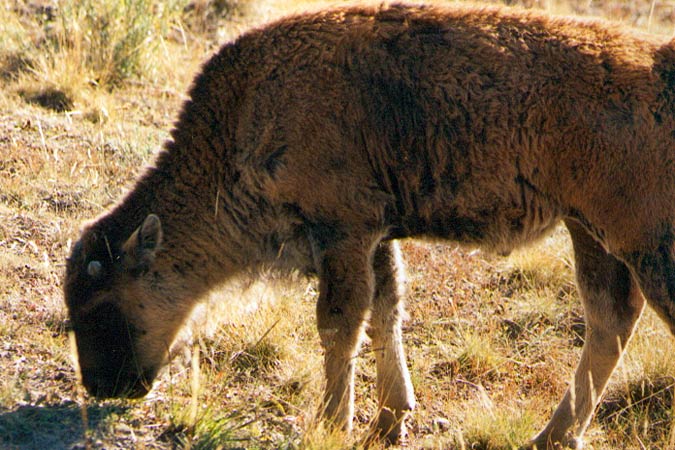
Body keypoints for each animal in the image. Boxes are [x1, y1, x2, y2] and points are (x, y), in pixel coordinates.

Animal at [66, 4, 675, 450]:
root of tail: (660, 64)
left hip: (640, 245)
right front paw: (389, 419)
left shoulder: (344, 231)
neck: (245, 118)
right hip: (589, 233)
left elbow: (339, 324)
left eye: (103, 303)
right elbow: (386, 313)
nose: (102, 386)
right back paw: (551, 436)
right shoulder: (375, 237)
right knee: (609, 321)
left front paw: (330, 424)